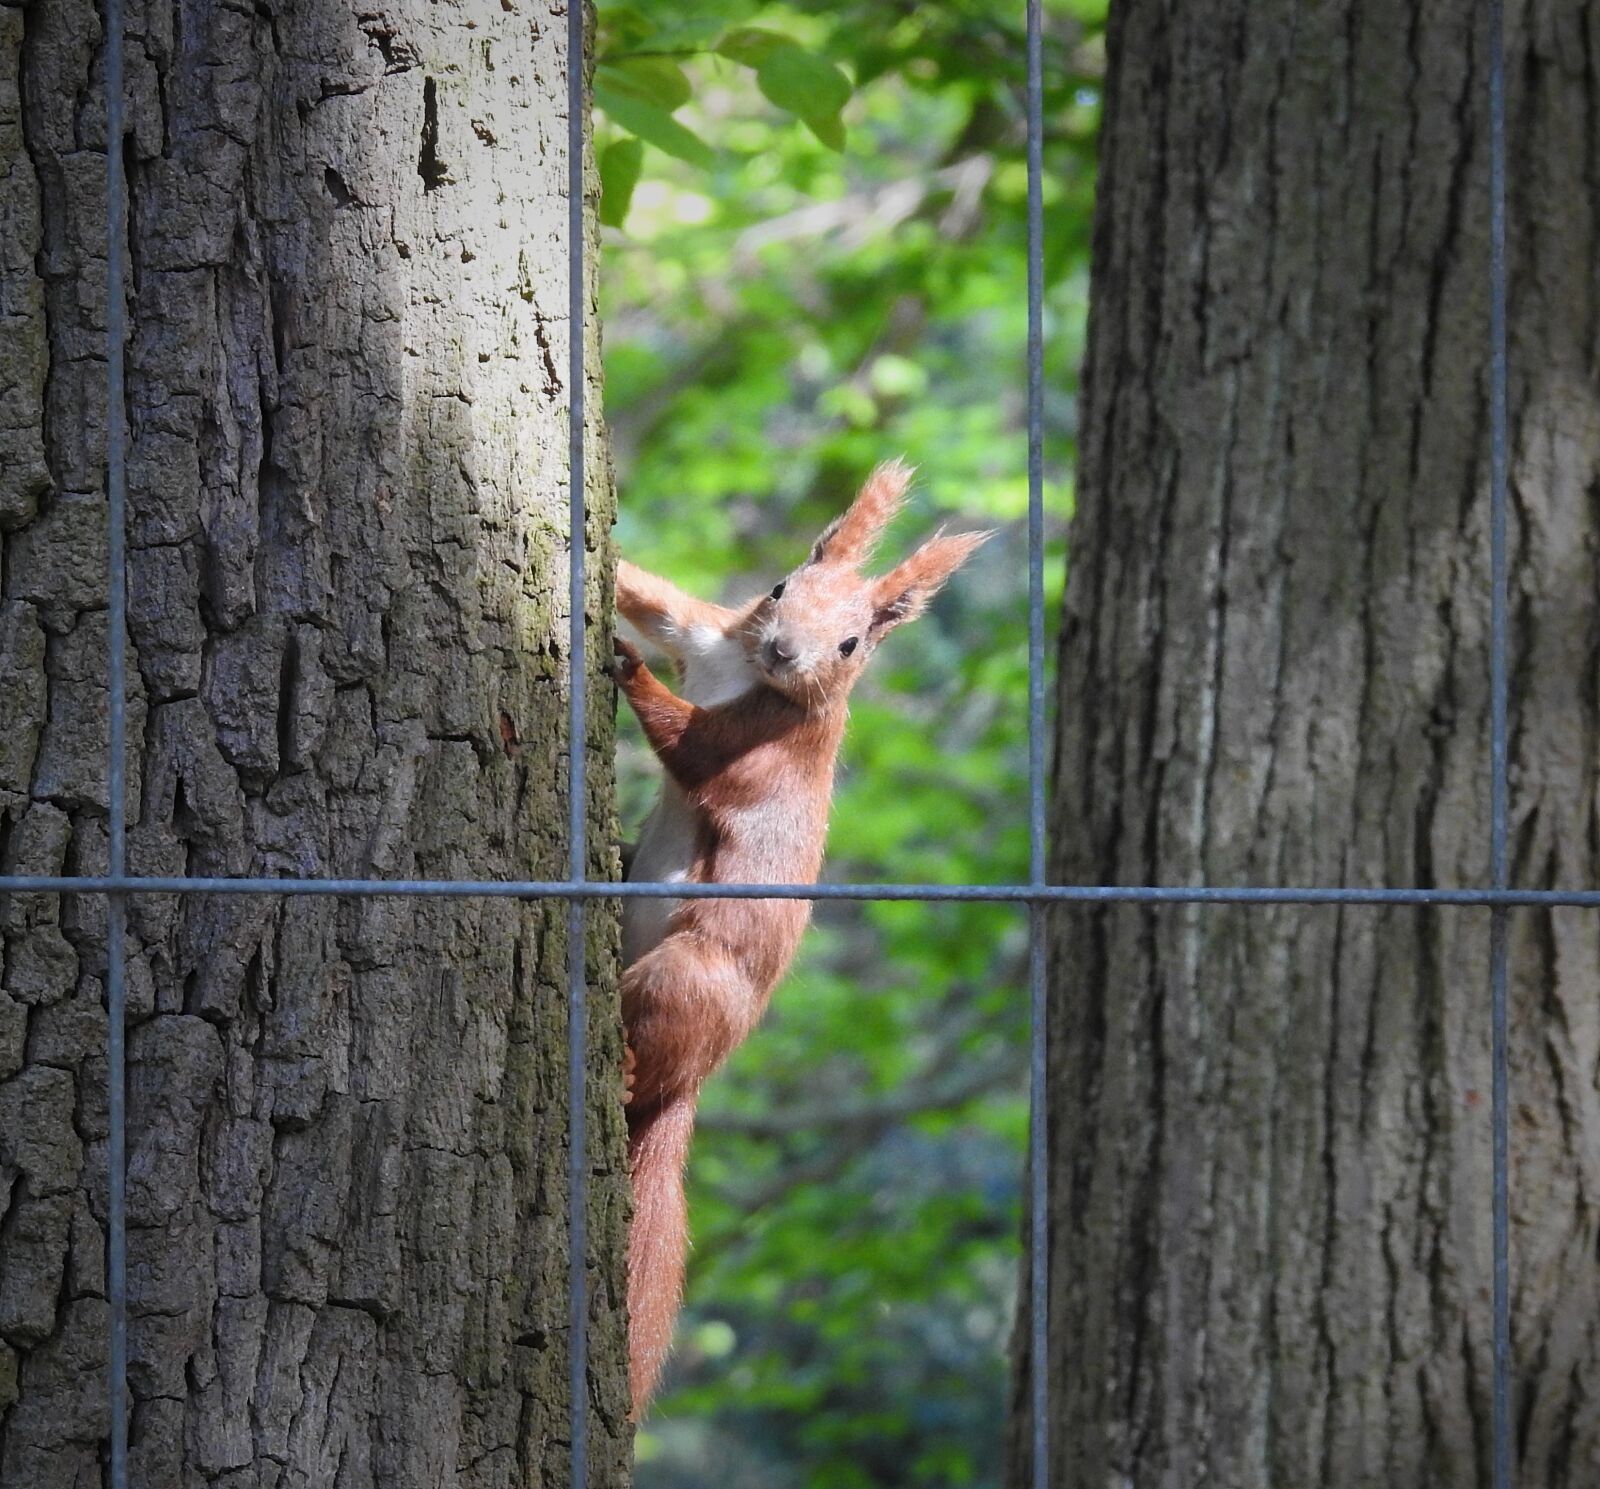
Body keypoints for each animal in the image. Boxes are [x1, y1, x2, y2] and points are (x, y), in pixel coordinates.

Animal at [610, 459, 989, 1414]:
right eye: (781, 587)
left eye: (852, 645)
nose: (785, 651)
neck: (744, 672)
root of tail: (693, 1080)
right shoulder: (707, 633)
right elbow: (655, 598)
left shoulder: (765, 751)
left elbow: (694, 747)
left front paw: (627, 669)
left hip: (689, 977)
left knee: (649, 1057)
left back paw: (628, 1067)